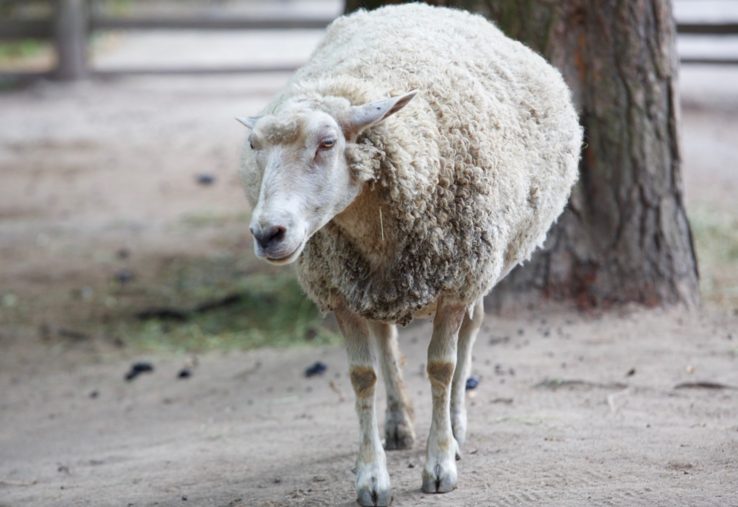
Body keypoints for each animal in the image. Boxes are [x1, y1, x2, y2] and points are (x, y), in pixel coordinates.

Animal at [236, 3, 581, 505]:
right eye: (254, 146)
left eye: (328, 143)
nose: (267, 233)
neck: (372, 228)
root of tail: (419, 7)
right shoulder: (339, 291)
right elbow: (363, 375)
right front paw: (371, 476)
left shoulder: (457, 281)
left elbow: (442, 366)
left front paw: (440, 465)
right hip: (374, 287)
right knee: (385, 338)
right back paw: (398, 423)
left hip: (480, 269)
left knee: (470, 334)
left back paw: (455, 426)